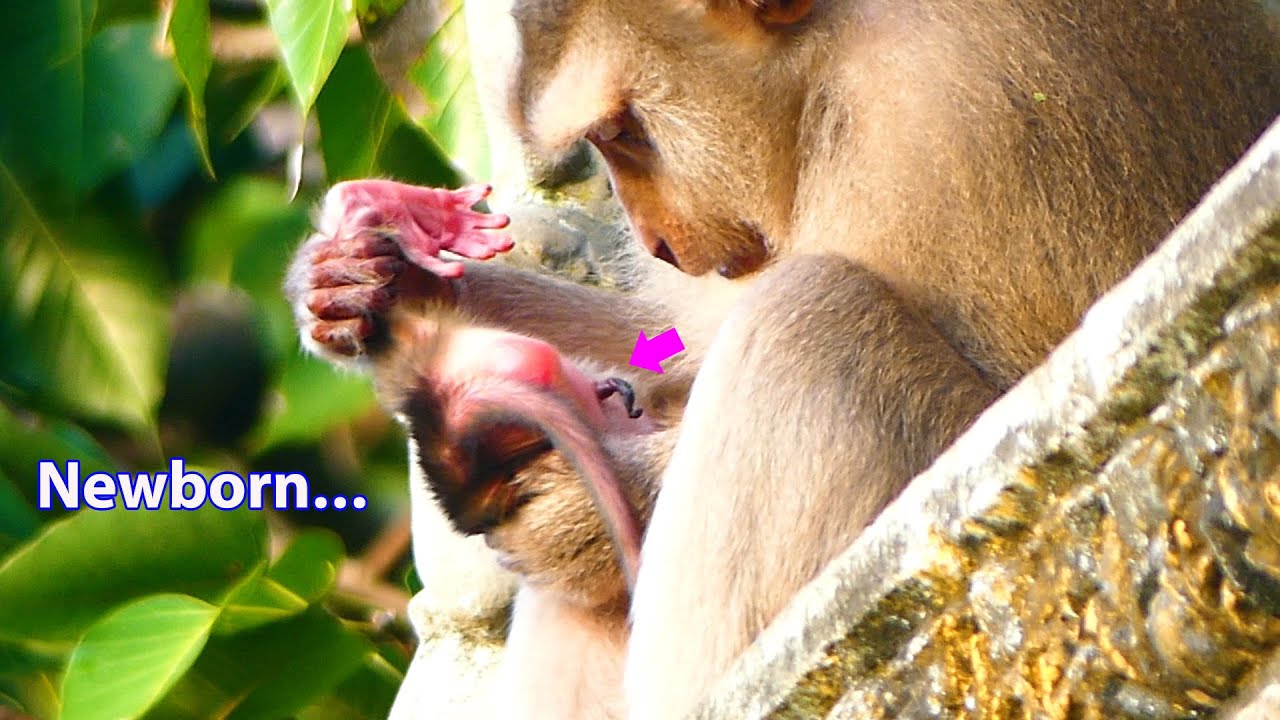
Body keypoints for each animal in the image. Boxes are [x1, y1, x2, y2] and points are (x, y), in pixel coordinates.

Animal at [289, 0, 1280, 717]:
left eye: (625, 132)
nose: (655, 239)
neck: (825, 60)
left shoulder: (943, 113)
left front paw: (573, 505)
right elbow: (673, 357)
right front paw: (381, 286)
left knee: (812, 320)